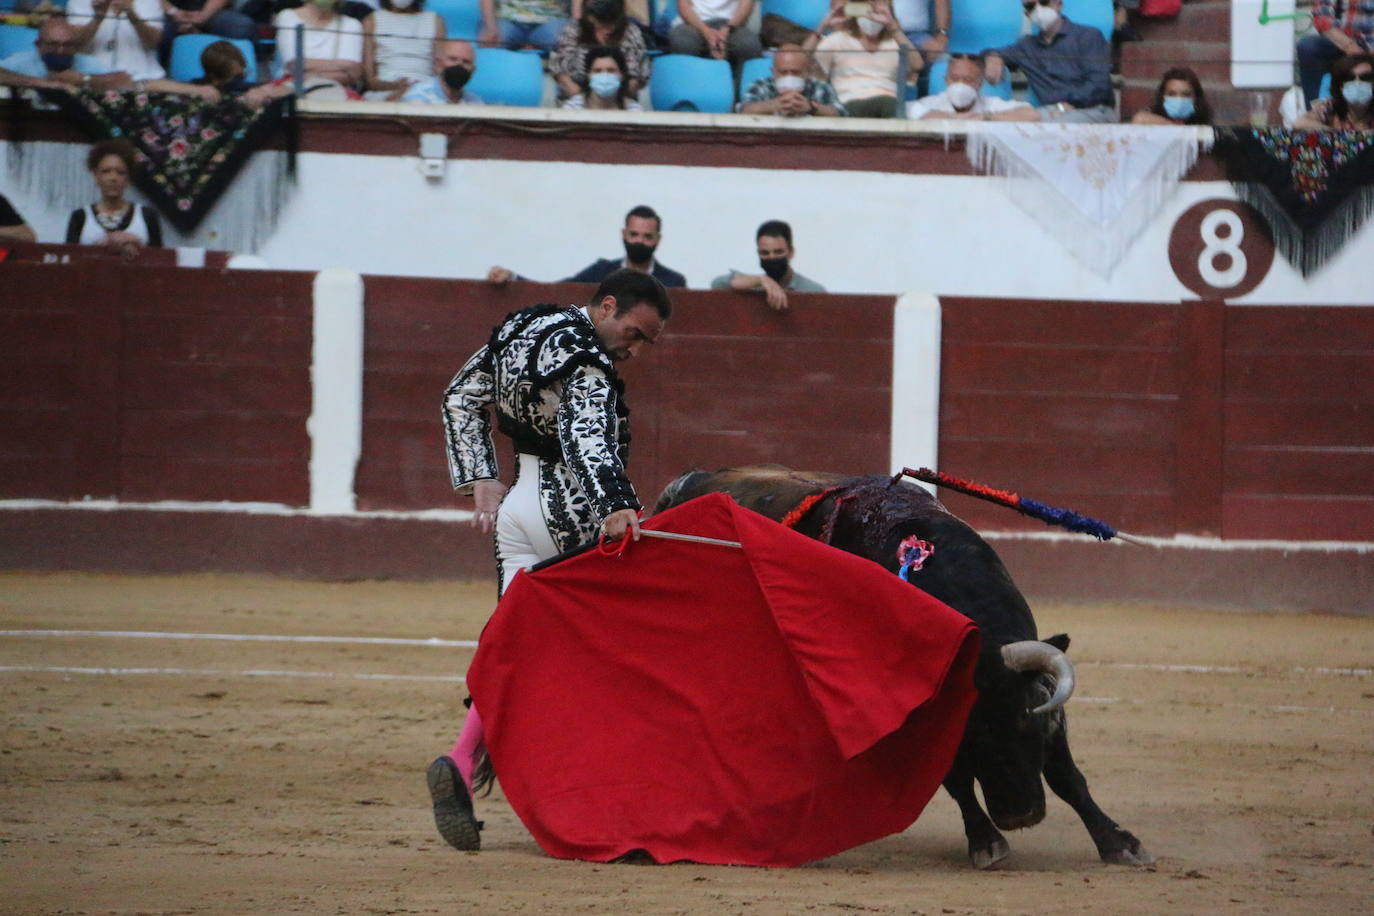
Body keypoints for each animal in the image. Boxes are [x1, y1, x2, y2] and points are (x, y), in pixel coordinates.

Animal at [648, 469, 1154, 873]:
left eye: (1025, 721)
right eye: (971, 734)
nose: (1019, 814)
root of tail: (686, 482)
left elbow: (1068, 776)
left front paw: (1120, 843)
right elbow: (956, 779)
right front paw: (987, 842)